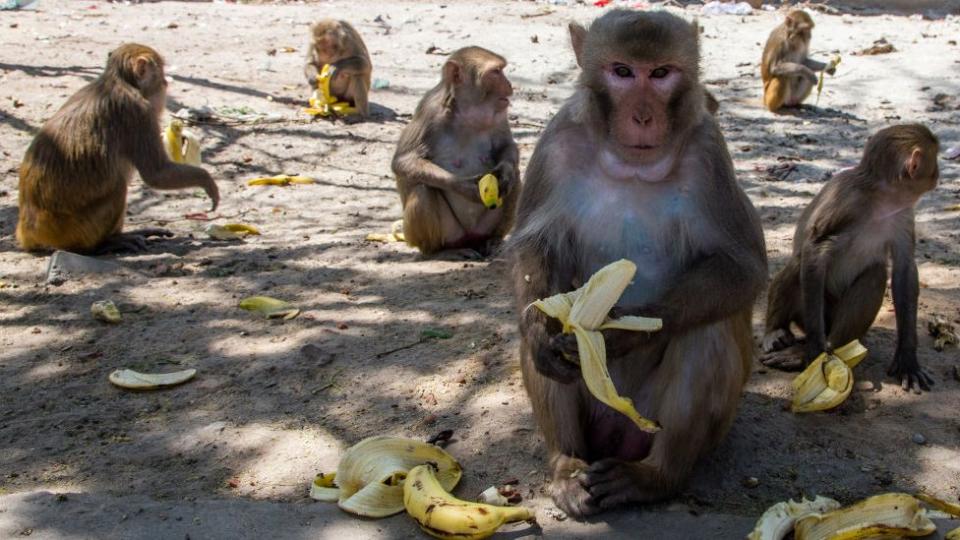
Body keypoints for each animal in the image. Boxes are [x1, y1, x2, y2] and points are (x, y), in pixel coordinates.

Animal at [17, 42, 220, 253]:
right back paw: (106, 243)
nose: (165, 83)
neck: (119, 82)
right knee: (119, 186)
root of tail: (30, 232)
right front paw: (206, 180)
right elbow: (156, 174)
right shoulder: (139, 112)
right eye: (160, 74)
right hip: (75, 230)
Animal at [392, 47, 520, 258]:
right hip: (450, 233)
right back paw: (439, 252)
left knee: (516, 180)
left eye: (502, 70)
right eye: (496, 72)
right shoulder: (429, 111)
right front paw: (464, 186)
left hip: (482, 229)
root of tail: (469, 239)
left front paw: (505, 172)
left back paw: (493, 241)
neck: (465, 112)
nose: (510, 84)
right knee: (423, 189)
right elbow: (404, 161)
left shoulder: (500, 113)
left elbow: (507, 147)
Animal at [510, 8, 764, 516]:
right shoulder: (555, 142)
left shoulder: (710, 155)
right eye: (623, 71)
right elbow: (536, 248)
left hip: (670, 423)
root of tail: (617, 435)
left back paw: (655, 476)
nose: (643, 116)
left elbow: (741, 269)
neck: (631, 165)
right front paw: (543, 334)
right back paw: (566, 465)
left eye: (661, 73)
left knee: (705, 328)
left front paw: (623, 335)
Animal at [760, 124, 940, 390]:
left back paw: (833, 346)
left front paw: (907, 359)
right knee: (799, 262)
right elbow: (816, 250)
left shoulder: (903, 213)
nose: (938, 174)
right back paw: (777, 331)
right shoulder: (847, 201)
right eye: (934, 159)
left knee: (875, 274)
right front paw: (812, 351)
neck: (881, 198)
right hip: (811, 311)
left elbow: (904, 270)